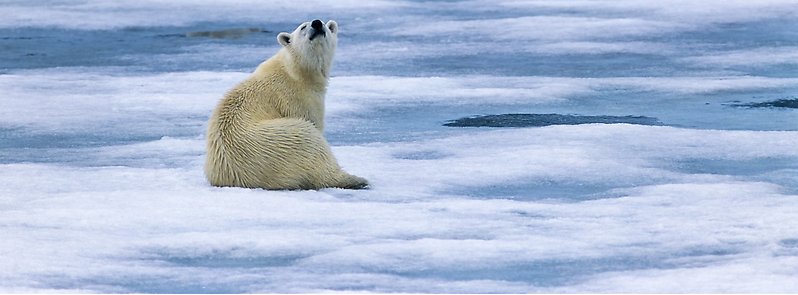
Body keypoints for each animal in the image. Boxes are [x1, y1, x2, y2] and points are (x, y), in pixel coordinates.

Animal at [205, 19, 370, 190]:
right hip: (288, 140)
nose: (317, 23)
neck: (296, 72)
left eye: (324, 24)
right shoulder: (297, 99)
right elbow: (312, 121)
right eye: (303, 27)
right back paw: (355, 179)